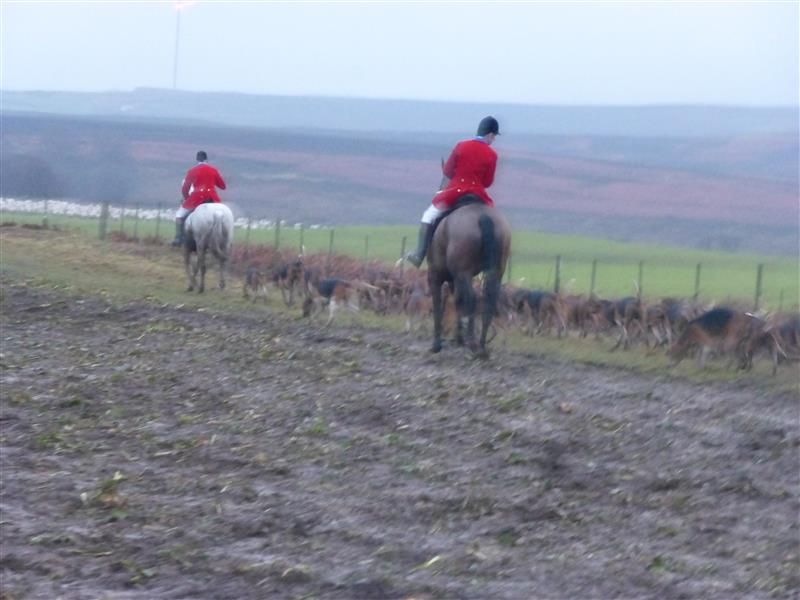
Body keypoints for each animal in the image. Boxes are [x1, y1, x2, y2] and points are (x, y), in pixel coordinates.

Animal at [427, 198, 511, 357]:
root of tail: (483, 216)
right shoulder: (457, 279)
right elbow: (458, 301)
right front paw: (458, 338)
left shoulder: (437, 276)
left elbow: (438, 304)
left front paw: (437, 345)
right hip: (495, 271)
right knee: (487, 300)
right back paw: (482, 347)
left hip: (462, 272)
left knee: (471, 299)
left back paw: (472, 343)